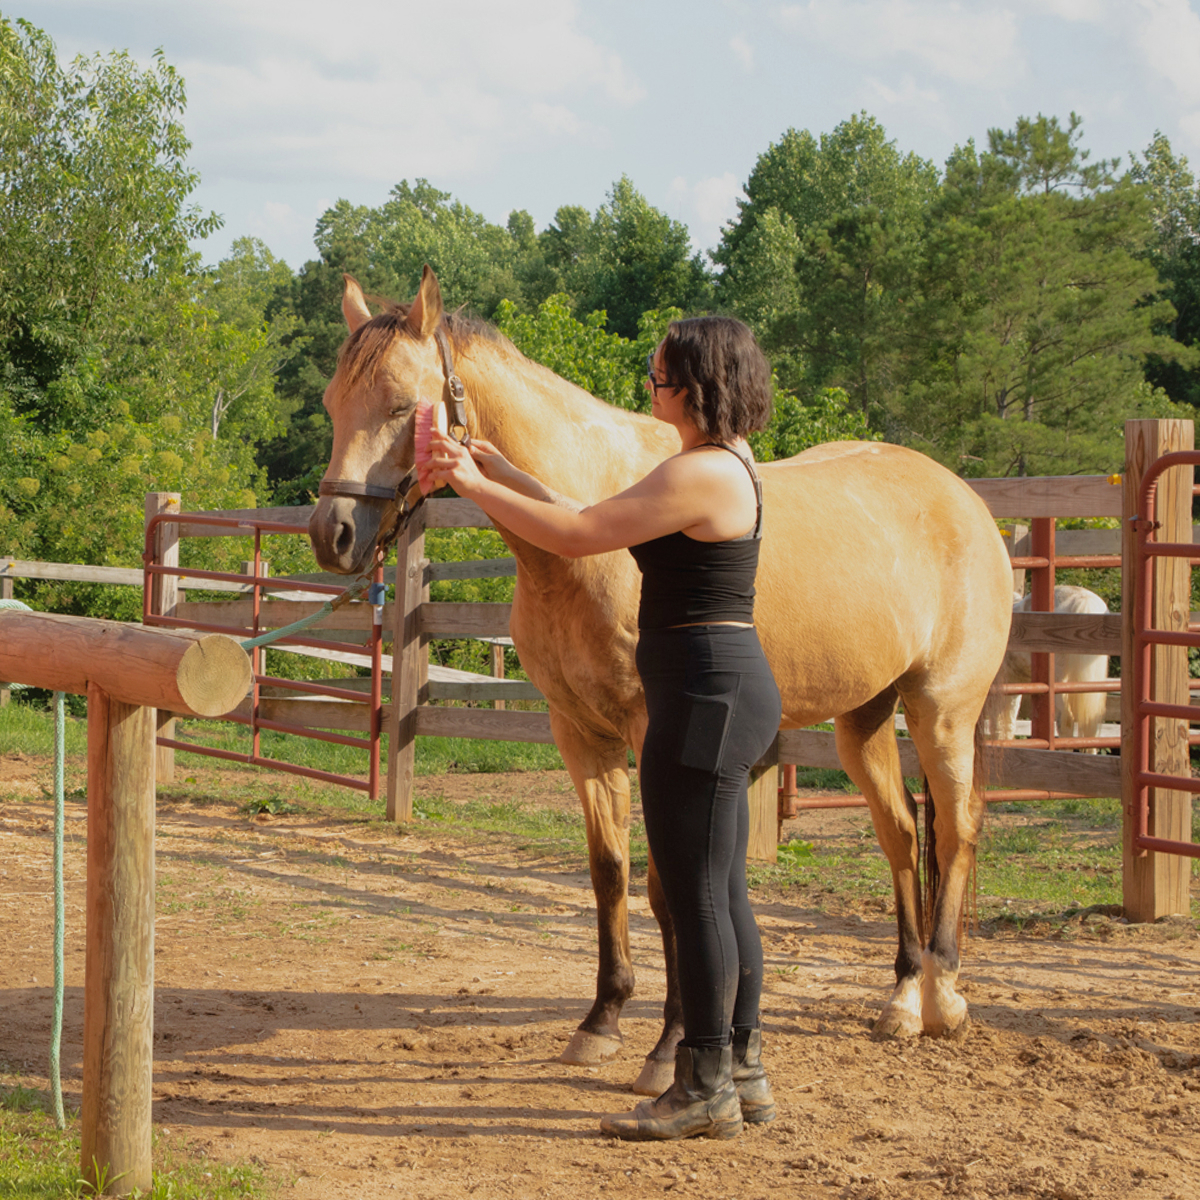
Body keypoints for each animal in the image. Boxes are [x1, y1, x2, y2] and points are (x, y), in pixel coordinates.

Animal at [309, 267, 1014, 1095]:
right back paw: (901, 997)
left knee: (958, 829)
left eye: (399, 407)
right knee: (902, 834)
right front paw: (602, 1020)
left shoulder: (657, 735)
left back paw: (942, 995)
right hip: (863, 717)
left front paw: (669, 1044)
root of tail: (961, 496)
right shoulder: (579, 731)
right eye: (332, 404)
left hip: (942, 711)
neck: (583, 539)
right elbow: (609, 871)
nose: (332, 537)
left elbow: (668, 887)